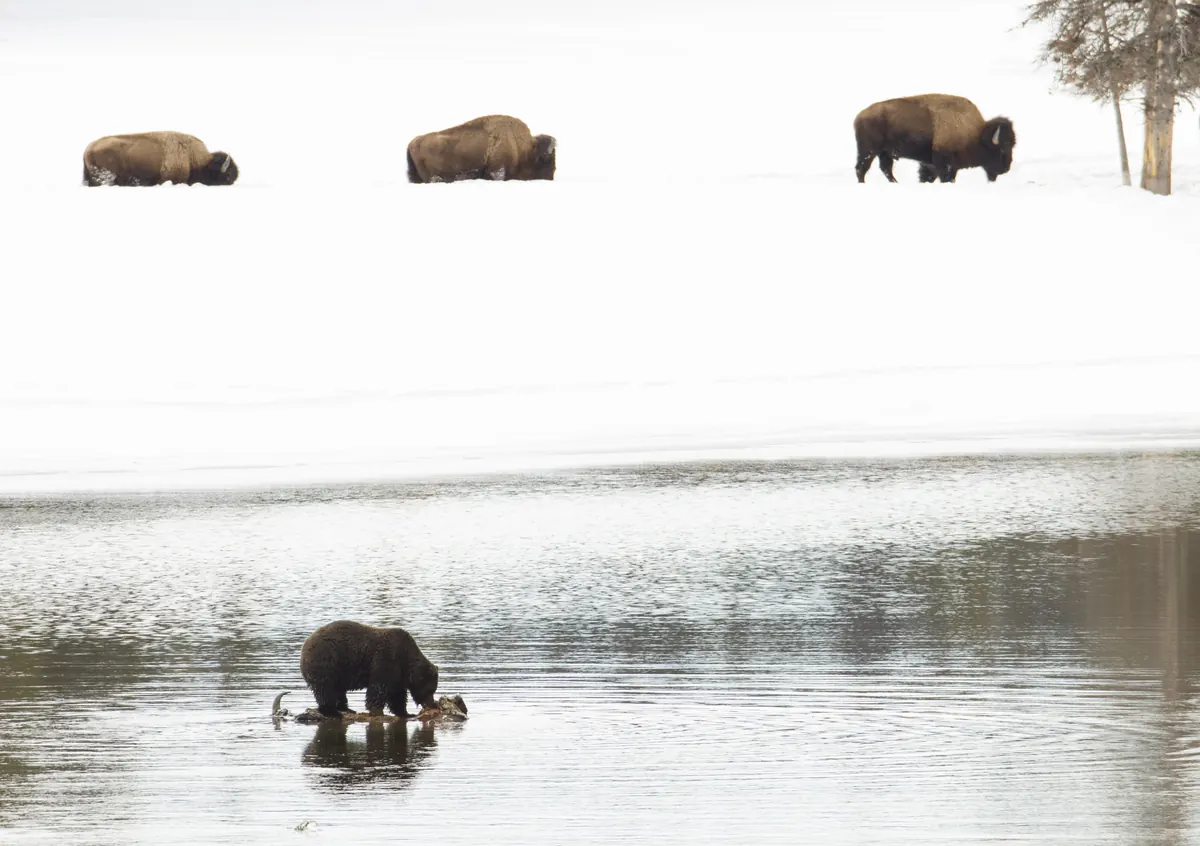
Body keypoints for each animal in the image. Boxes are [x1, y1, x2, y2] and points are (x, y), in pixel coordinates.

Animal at [299, 620, 440, 719]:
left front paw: (405, 713)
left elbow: (397, 695)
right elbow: (379, 687)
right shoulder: (387, 659)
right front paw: (377, 711)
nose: (433, 704)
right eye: (431, 690)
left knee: (338, 690)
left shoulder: (399, 674)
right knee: (326, 689)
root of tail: (305, 645)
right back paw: (333, 711)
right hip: (327, 661)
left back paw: (346, 709)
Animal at [853, 94, 1016, 184]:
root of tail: (860, 116)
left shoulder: (931, 164)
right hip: (869, 151)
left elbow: (927, 176)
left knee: (886, 169)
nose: (1006, 168)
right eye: (1002, 148)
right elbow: (946, 177)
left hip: (884, 153)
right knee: (862, 169)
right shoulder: (945, 164)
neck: (975, 134)